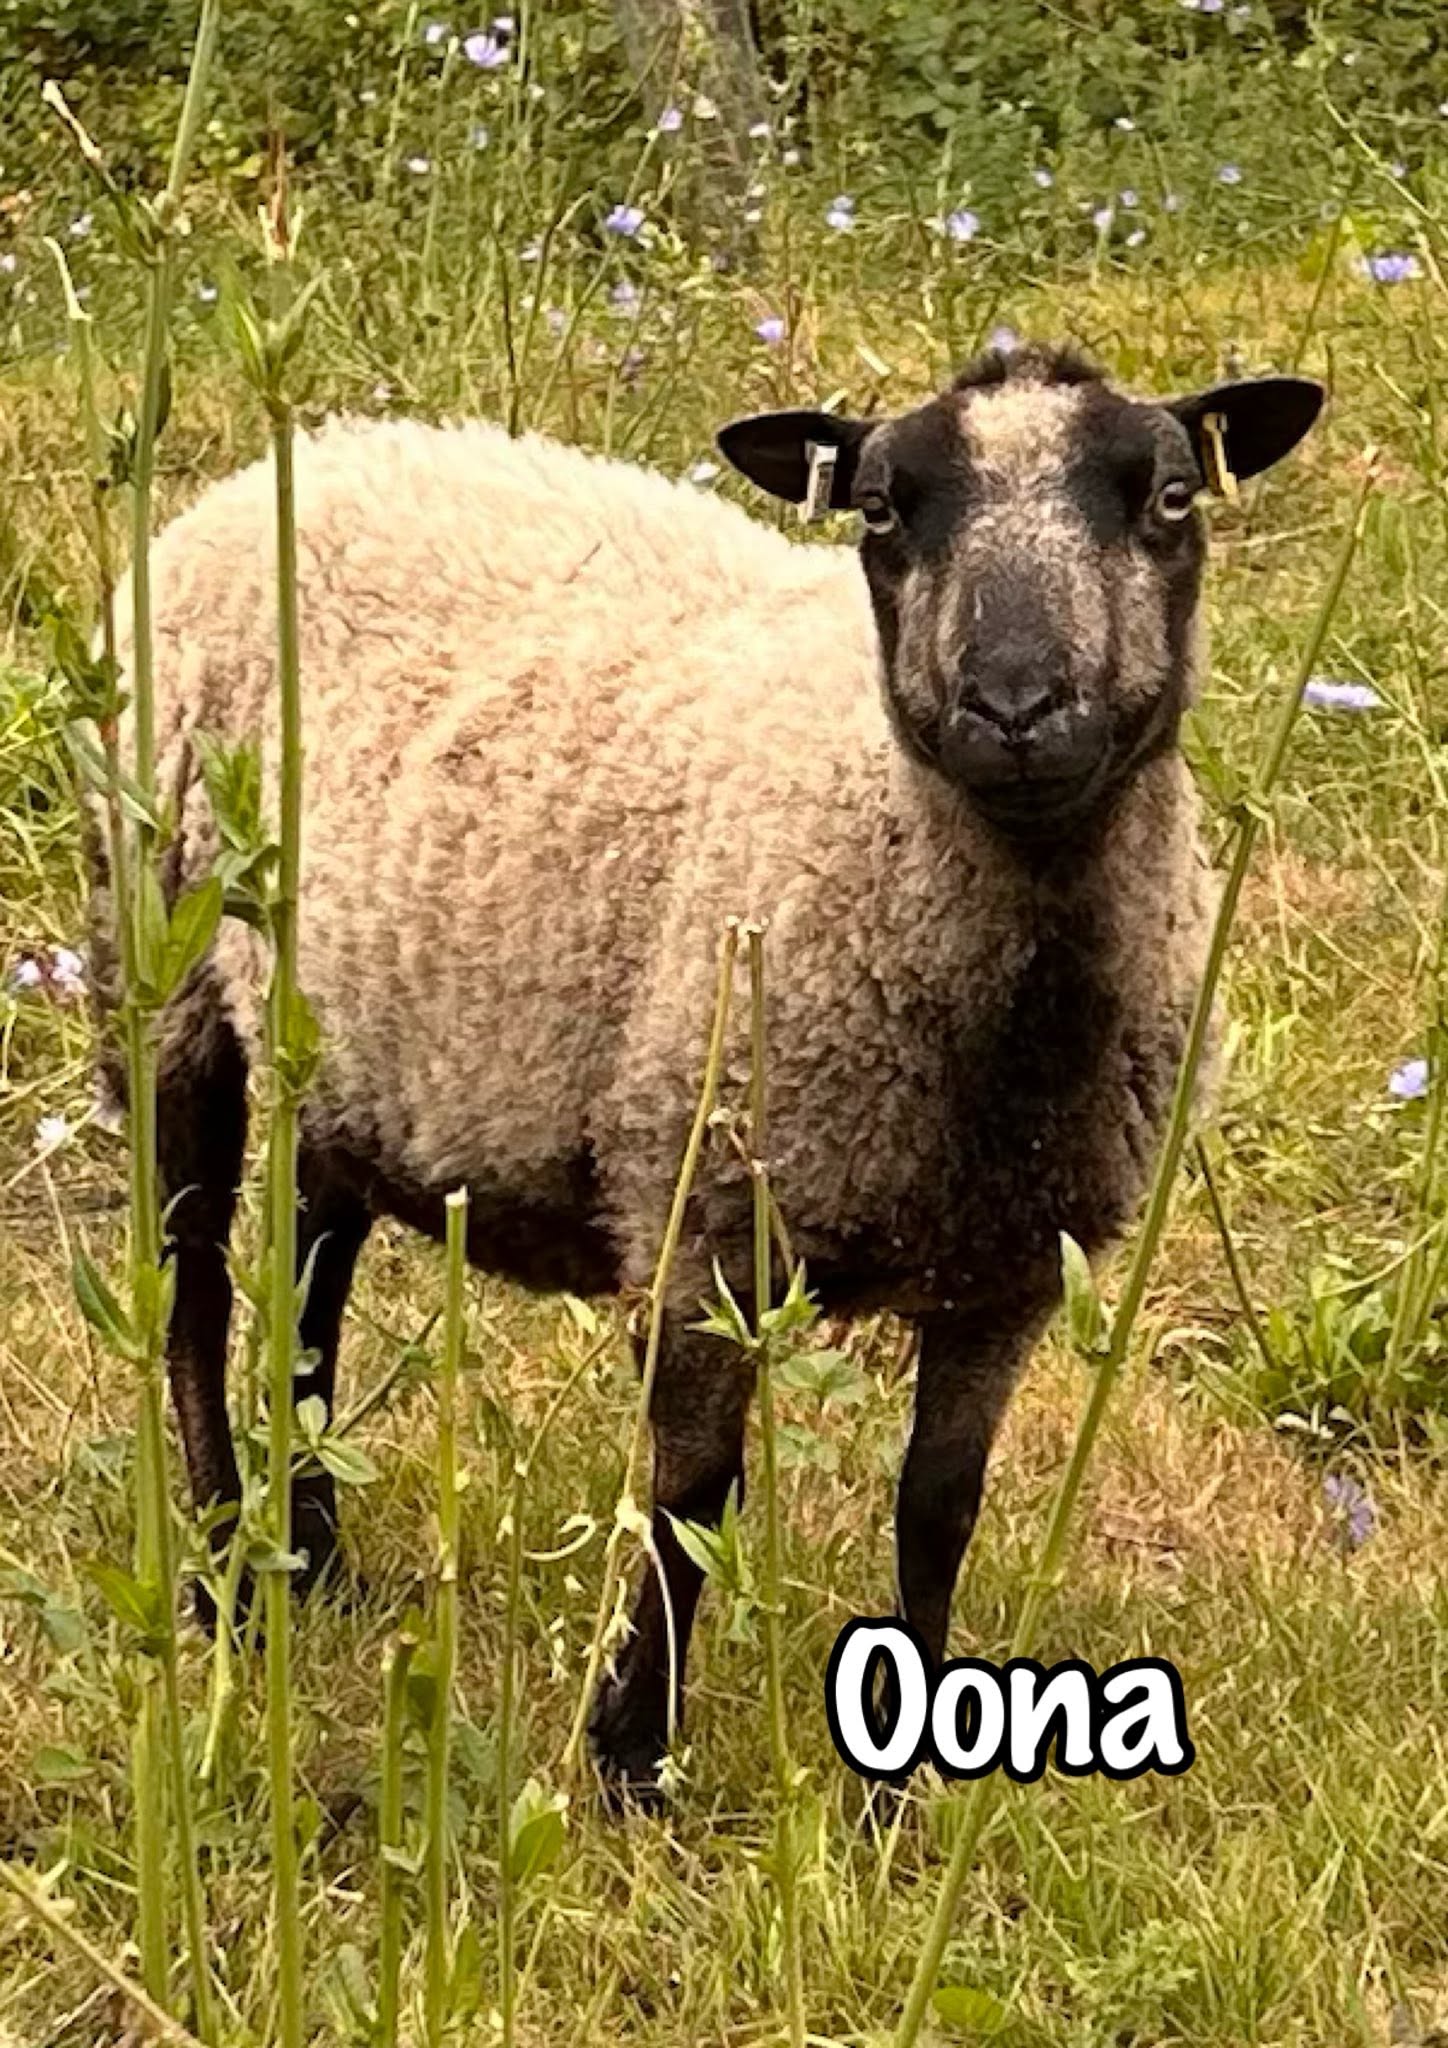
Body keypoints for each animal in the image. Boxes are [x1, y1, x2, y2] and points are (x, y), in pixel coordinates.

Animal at [94, 341, 1323, 1793]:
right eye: (880, 509)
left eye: (1172, 496)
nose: (1015, 708)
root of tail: (322, 442)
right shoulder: (706, 1228)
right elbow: (692, 1496)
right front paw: (631, 1754)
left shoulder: (1016, 1272)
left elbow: (939, 1509)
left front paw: (898, 1786)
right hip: (163, 975)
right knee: (191, 1288)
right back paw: (221, 1568)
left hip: (342, 1051)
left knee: (309, 1277)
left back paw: (315, 1551)